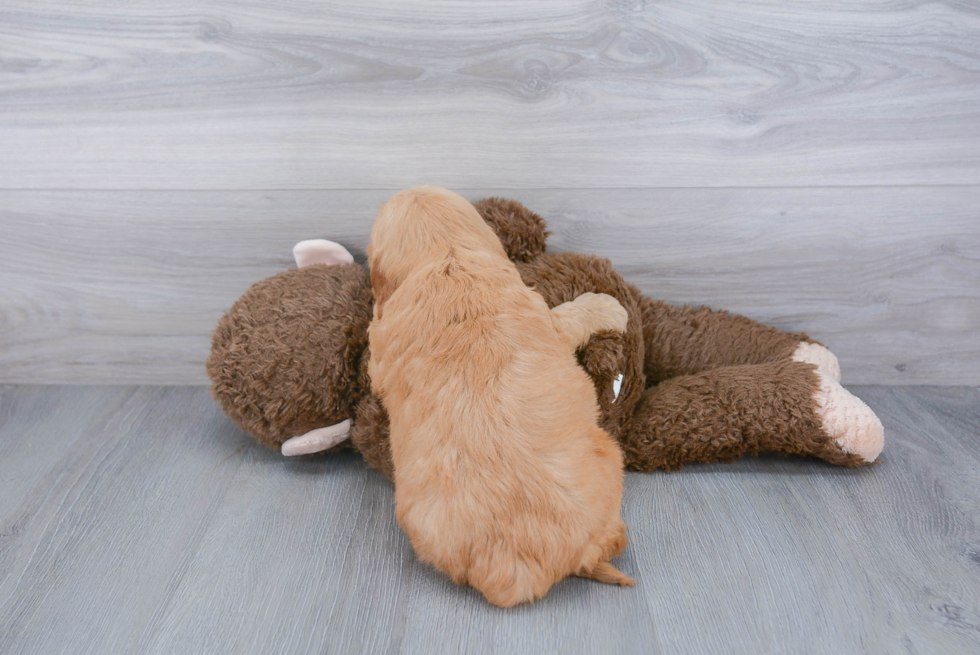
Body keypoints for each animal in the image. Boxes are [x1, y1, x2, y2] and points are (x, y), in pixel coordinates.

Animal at [364, 187, 632, 608]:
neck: (447, 259)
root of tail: (514, 565)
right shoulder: (546, 317)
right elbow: (572, 315)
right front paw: (608, 305)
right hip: (607, 455)